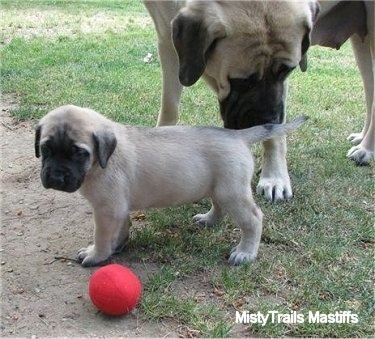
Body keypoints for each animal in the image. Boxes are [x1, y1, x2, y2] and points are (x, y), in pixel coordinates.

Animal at [34, 105, 306, 266]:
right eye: (46, 149)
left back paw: (246, 252)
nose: (56, 177)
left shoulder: (106, 210)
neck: (101, 162)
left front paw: (96, 254)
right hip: (220, 188)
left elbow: (101, 236)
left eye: (79, 153)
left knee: (254, 219)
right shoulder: (118, 209)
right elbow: (119, 229)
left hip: (233, 193)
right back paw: (209, 220)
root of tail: (237, 135)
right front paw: (117, 246)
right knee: (218, 206)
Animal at [144, 0, 320, 202]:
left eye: (287, 70)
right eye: (242, 81)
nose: (268, 121)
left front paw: (275, 177)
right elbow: (170, 106)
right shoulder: (167, 39)